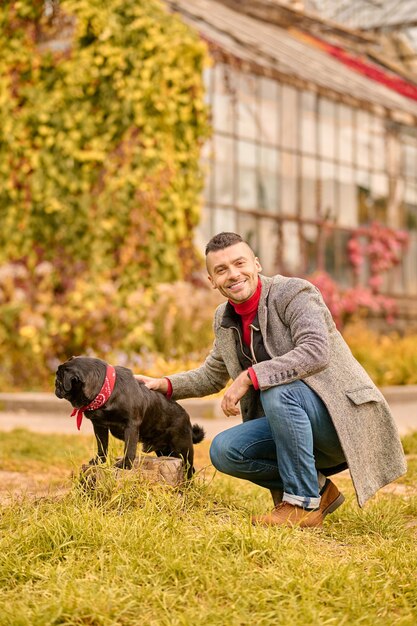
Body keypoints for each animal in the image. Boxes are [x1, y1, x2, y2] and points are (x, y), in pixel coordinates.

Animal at [55, 354, 205, 476]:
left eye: (59, 380)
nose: (55, 385)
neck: (106, 389)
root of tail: (187, 419)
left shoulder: (131, 425)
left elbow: (129, 448)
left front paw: (125, 465)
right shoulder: (99, 426)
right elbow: (102, 445)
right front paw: (99, 461)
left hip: (182, 448)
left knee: (189, 468)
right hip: (165, 451)